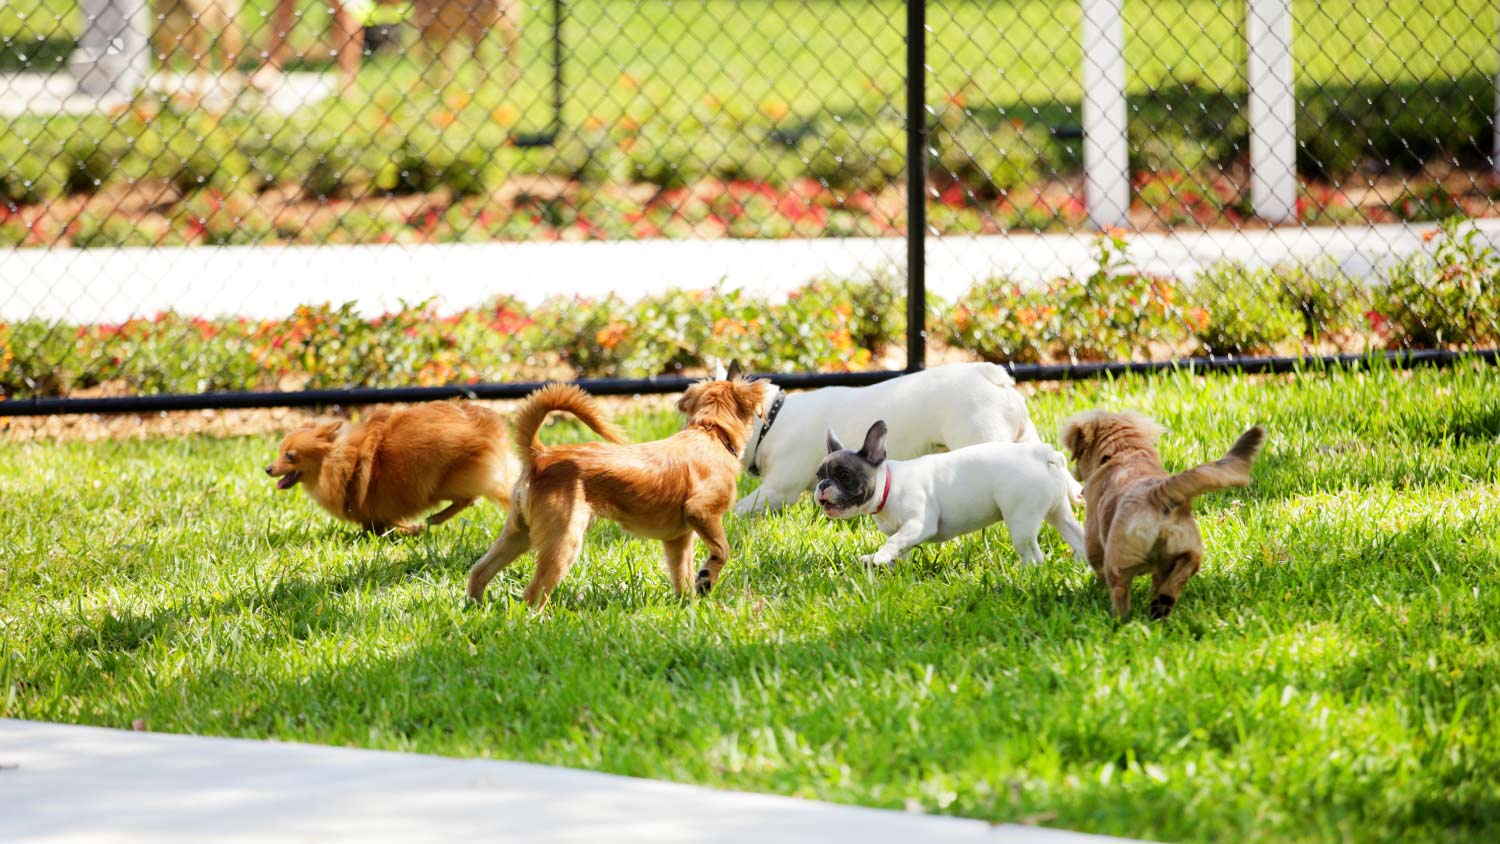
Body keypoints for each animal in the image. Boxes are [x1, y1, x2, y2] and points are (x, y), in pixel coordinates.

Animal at [259, 401, 516, 533]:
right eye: (279, 451)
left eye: (290, 456)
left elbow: (378, 526)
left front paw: (407, 530)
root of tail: (485, 425)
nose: (268, 468)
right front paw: (409, 529)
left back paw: (435, 518)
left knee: (468, 499)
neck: (338, 462)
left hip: (443, 482)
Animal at [465, 379, 774, 611]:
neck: (710, 433)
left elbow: (681, 574)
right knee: (533, 593)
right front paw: (706, 579)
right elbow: (722, 551)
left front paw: (688, 605)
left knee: (480, 571)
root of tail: (541, 455)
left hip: (519, 533)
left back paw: (477, 609)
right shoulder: (702, 512)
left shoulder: (678, 539)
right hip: (563, 539)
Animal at [816, 416, 1086, 566]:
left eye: (844, 475)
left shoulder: (919, 524)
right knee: (1076, 535)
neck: (888, 486)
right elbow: (900, 547)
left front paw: (878, 558)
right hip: (1057, 510)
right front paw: (887, 565)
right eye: (819, 475)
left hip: (1021, 520)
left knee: (1033, 555)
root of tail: (1042, 454)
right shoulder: (906, 532)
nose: (822, 485)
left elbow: (895, 540)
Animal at [1056, 413, 1266, 620]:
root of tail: (1156, 494)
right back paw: (1161, 604)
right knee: (1181, 573)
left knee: (1120, 592)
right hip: (1185, 551)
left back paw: (1120, 621)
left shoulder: (1093, 539)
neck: (1124, 451)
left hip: (1117, 563)